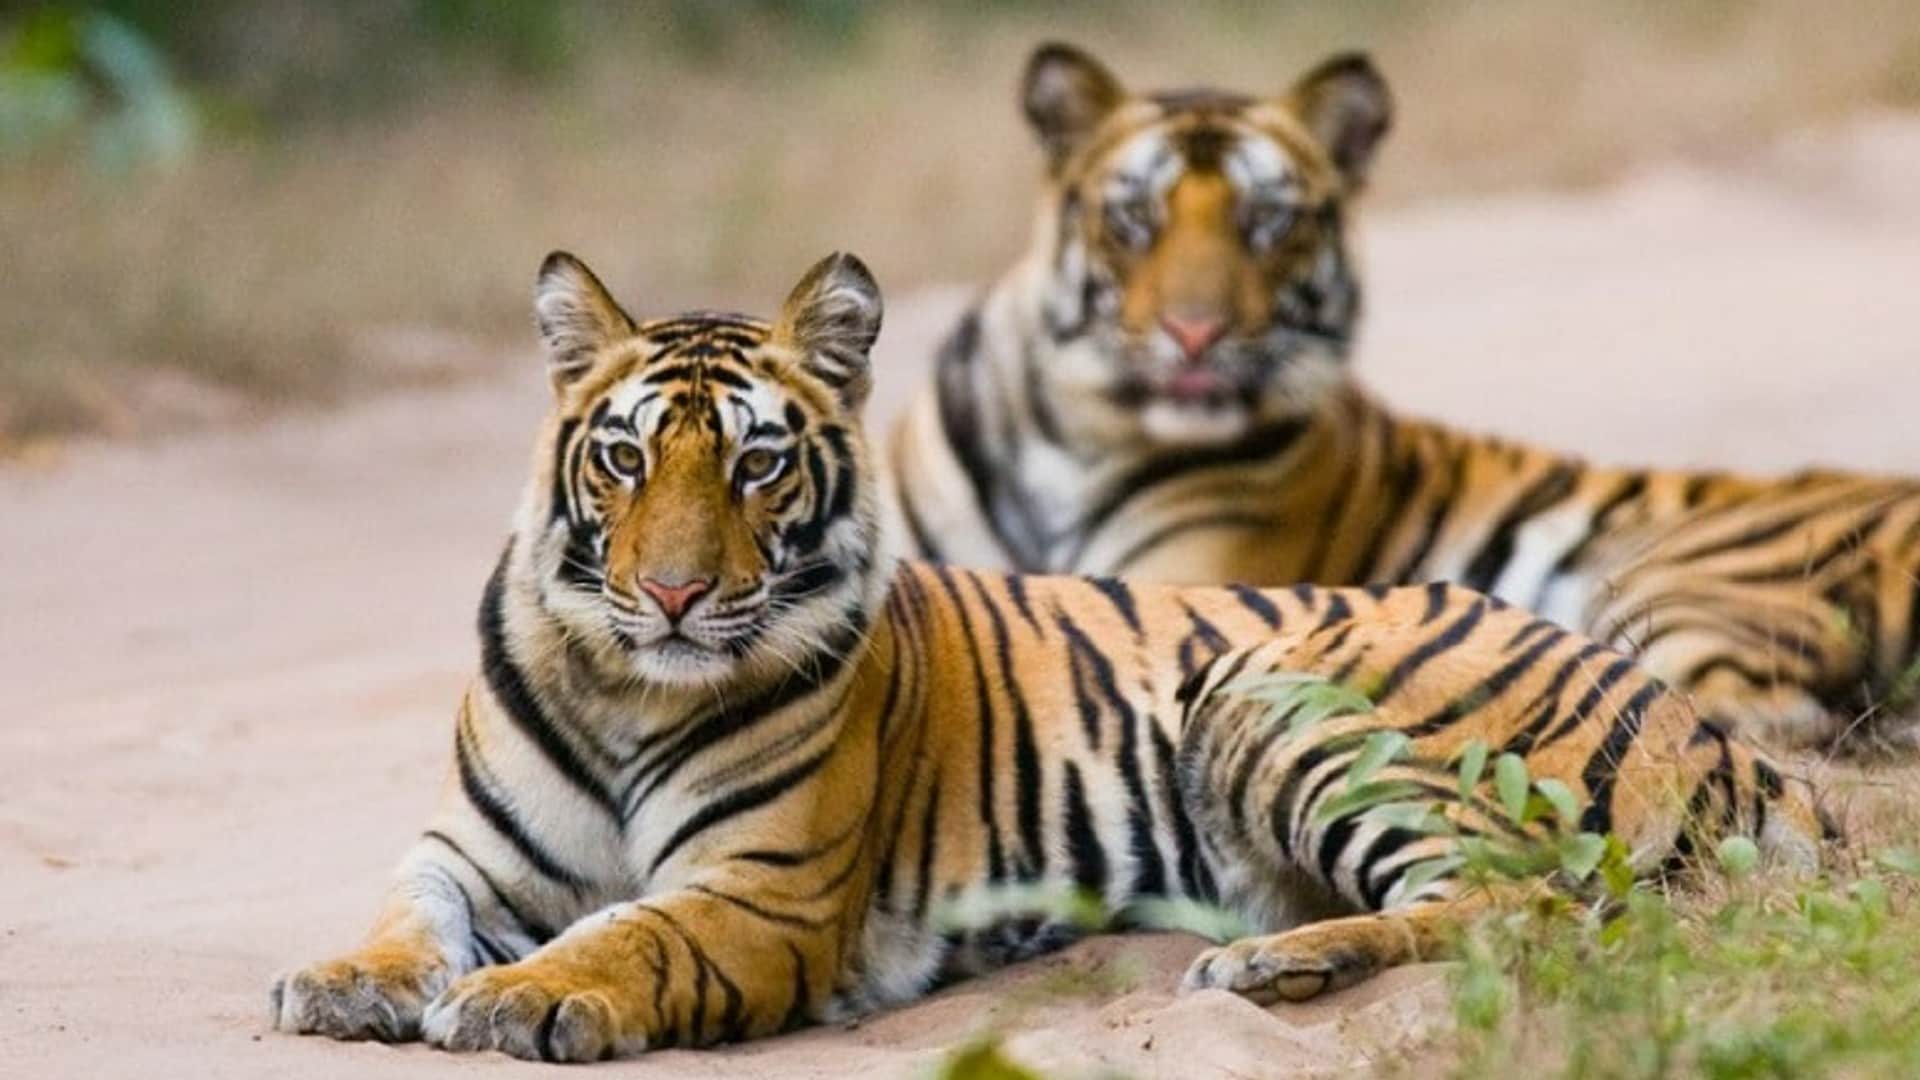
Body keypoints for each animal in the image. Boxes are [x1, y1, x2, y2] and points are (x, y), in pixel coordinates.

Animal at [268, 249, 1822, 1062]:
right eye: (626, 457)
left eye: (759, 464)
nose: (668, 595)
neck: (622, 688)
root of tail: (1719, 735)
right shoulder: (469, 855)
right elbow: (409, 916)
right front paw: (341, 982)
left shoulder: (757, 895)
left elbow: (623, 934)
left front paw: (518, 999)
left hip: (1274, 699)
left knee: (1526, 906)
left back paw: (1270, 971)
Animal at [888, 42, 1920, 753]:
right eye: (1135, 217)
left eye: (1269, 222)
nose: (1195, 333)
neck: (1072, 434)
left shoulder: (1176, 592)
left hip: (1677, 585)